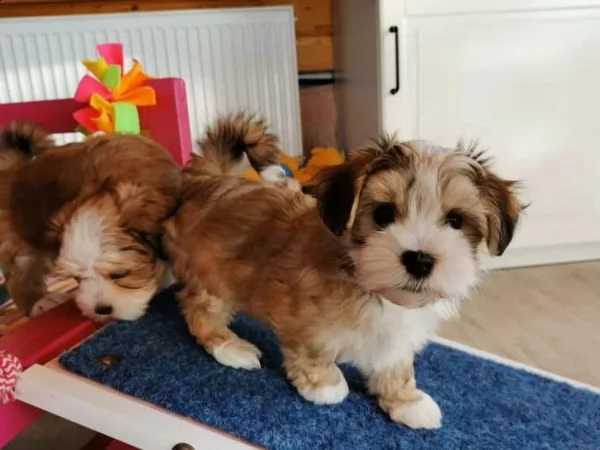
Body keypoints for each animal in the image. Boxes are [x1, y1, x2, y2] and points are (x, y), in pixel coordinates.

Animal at [1, 123, 182, 320]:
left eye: (120, 274)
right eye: (78, 278)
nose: (101, 309)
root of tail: (13, 169)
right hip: (19, 247)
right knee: (20, 277)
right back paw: (39, 302)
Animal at [163, 116, 520, 428]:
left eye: (456, 221)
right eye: (384, 214)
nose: (419, 259)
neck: (366, 282)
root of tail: (211, 181)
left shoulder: (396, 337)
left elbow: (396, 364)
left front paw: (406, 401)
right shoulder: (304, 317)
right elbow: (313, 350)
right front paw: (325, 385)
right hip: (213, 276)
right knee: (199, 308)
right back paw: (230, 347)